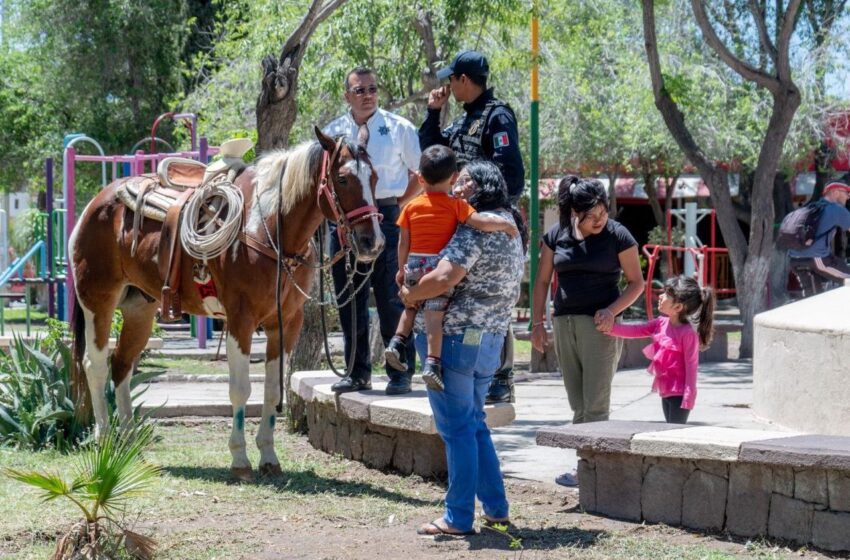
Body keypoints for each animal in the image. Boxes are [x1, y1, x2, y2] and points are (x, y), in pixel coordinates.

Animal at [69, 127, 380, 476]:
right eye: (342, 179)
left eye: (375, 177)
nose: (373, 242)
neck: (268, 227)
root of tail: (96, 204)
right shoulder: (240, 320)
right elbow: (241, 389)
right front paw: (240, 459)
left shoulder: (286, 323)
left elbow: (272, 390)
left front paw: (268, 456)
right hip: (98, 300)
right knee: (95, 364)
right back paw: (106, 441)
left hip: (140, 309)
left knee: (122, 363)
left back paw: (129, 444)